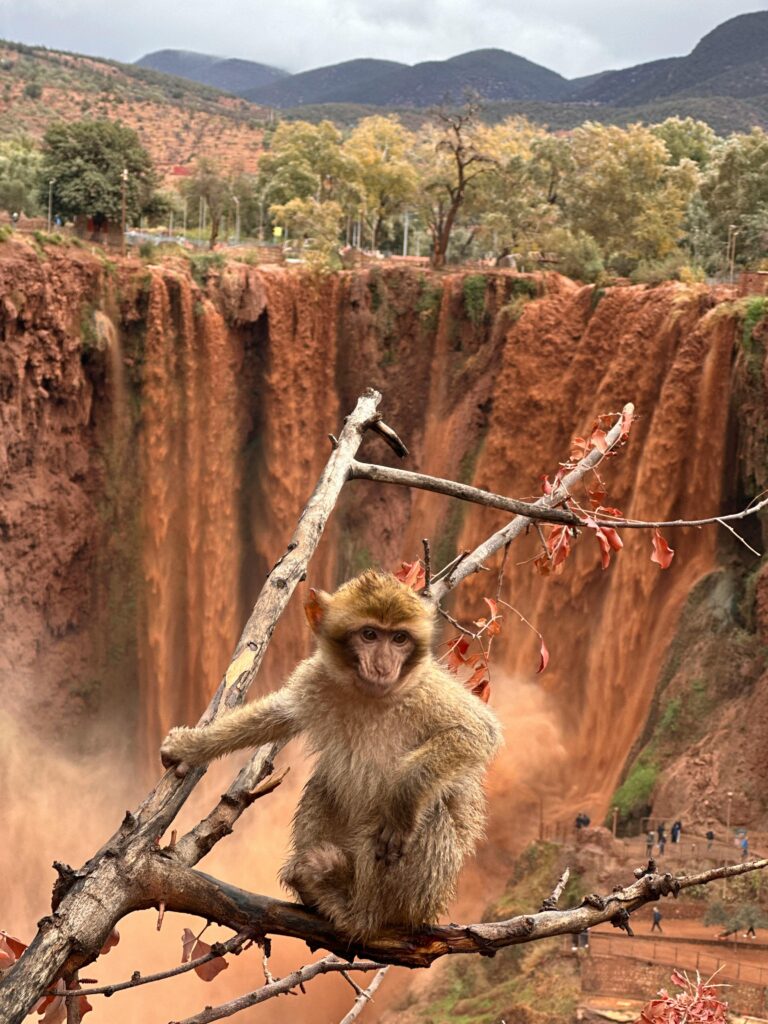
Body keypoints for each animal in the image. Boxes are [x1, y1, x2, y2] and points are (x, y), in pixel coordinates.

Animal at [160, 570, 502, 940]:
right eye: (369, 635)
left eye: (399, 638)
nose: (383, 665)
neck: (370, 695)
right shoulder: (317, 678)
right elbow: (279, 715)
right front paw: (192, 746)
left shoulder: (429, 690)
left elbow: (476, 733)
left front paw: (403, 796)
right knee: (324, 785)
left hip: (424, 894)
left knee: (428, 811)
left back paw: (358, 912)